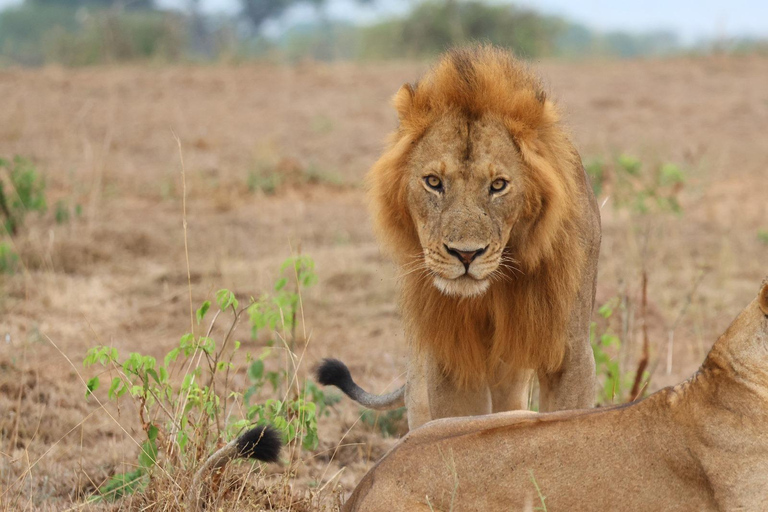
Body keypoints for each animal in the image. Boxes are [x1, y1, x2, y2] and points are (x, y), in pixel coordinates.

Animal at [316, 45, 600, 428]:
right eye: (434, 182)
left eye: (498, 185)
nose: (466, 255)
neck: (493, 289)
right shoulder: (450, 356)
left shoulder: (570, 351)